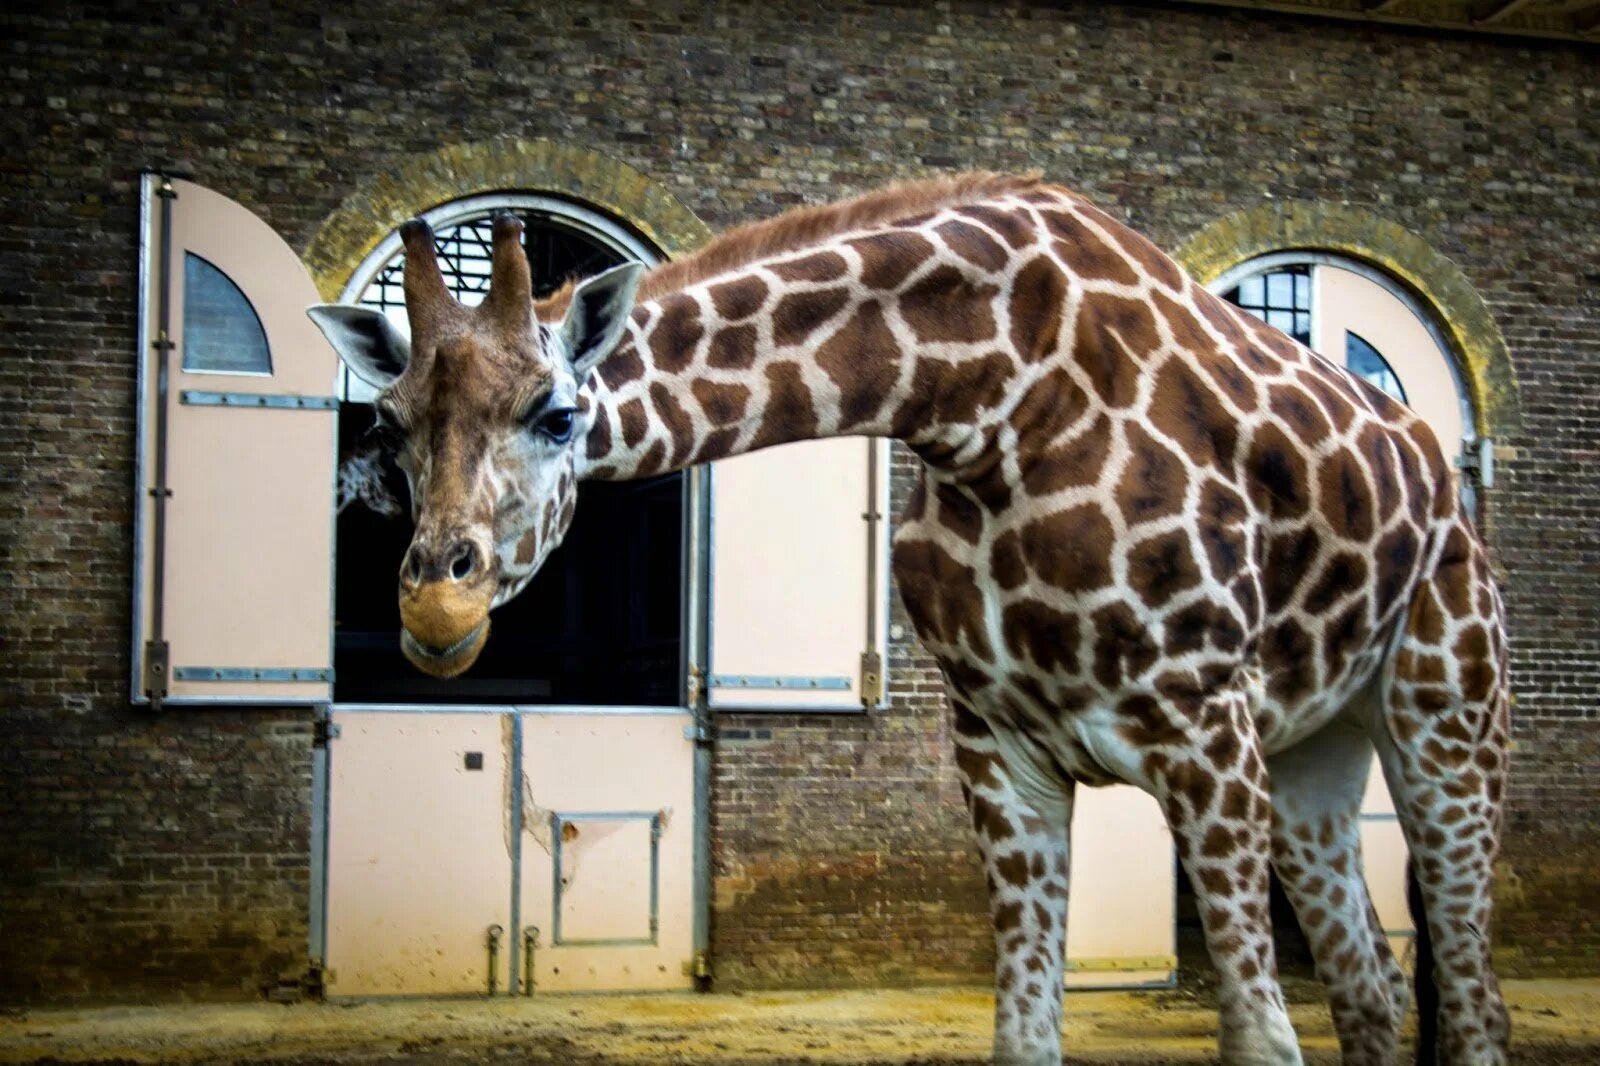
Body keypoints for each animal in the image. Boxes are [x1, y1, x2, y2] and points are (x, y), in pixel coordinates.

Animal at [308, 174, 1510, 1062]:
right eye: (390, 423)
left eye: (557, 414)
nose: (436, 606)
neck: (988, 400)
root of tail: (1447, 481)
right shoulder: (1002, 751)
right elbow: (1023, 1038)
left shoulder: (1206, 728)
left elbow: (1261, 1038)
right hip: (1315, 755)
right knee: (1373, 988)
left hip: (1446, 718)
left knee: (1473, 999)